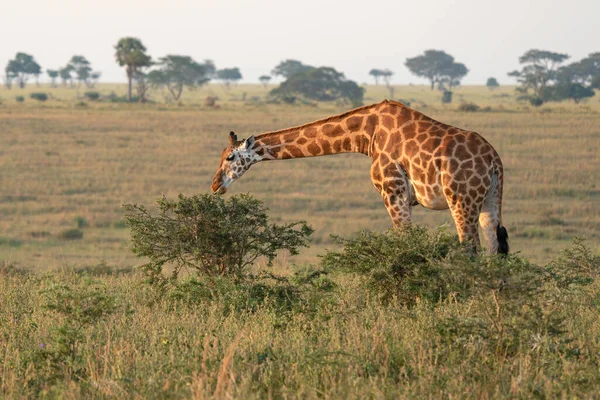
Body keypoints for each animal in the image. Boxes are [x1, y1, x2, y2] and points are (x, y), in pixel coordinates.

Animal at [213, 101, 508, 255]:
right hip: (490, 199)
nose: (215, 185)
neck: (368, 134)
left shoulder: (393, 192)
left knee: (471, 248)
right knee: (495, 246)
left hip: (461, 199)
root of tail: (494, 159)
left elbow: (404, 241)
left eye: (229, 157)